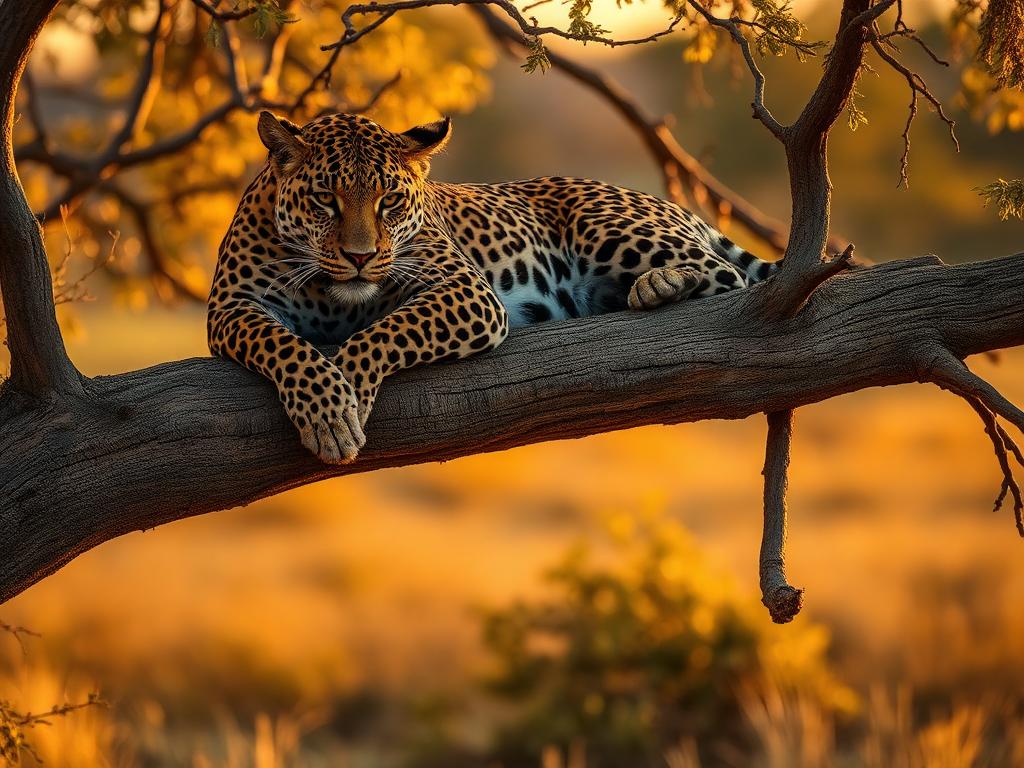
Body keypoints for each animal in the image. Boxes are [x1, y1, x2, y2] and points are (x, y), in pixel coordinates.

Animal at [207, 111, 779, 464]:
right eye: (325, 199)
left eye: (390, 200)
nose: (360, 257)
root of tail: (666, 202)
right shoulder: (231, 308)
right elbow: (286, 347)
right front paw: (328, 409)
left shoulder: (465, 290)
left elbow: (381, 333)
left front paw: (340, 406)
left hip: (608, 226)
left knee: (726, 276)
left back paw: (661, 283)